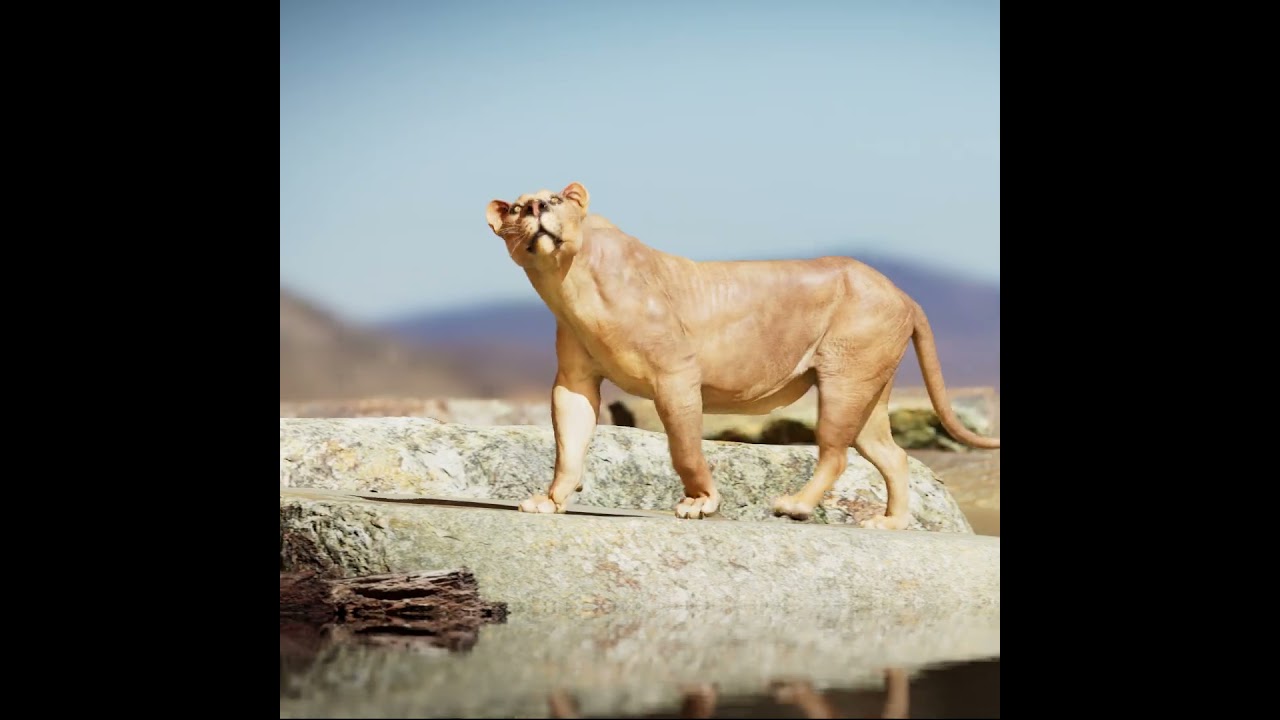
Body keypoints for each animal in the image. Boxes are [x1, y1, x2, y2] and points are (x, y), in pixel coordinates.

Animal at [485, 182, 999, 529]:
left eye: (557, 199)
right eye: (519, 206)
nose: (538, 207)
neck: (569, 281)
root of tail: (901, 292)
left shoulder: (676, 374)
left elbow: (685, 448)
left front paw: (701, 502)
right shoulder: (575, 381)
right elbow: (569, 444)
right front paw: (550, 501)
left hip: (845, 379)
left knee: (836, 453)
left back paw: (795, 506)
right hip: (869, 387)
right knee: (893, 456)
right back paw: (888, 523)